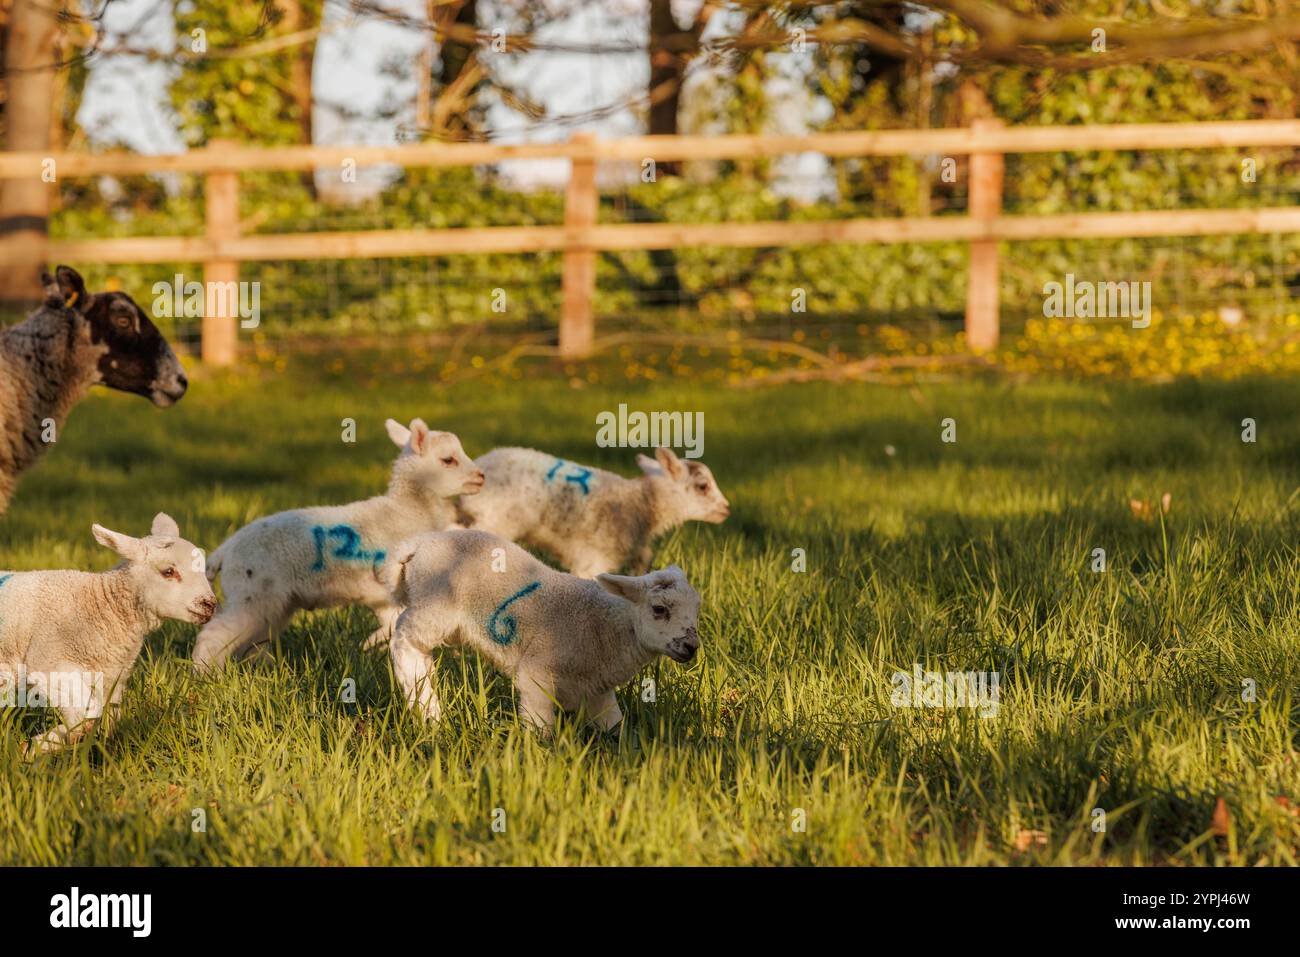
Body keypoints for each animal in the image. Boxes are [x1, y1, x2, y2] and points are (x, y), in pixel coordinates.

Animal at [0, 514, 215, 754]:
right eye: (168, 572)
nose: (210, 604)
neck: (100, 605)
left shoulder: (112, 678)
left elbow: (108, 722)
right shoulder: (49, 663)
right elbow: (85, 718)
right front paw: (32, 748)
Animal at [195, 418, 488, 670]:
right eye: (448, 460)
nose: (481, 477)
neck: (409, 510)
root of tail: (224, 551)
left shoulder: (382, 597)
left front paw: (373, 646)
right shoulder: (388, 586)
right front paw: (371, 644)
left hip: (273, 601)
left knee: (252, 642)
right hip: (252, 591)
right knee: (214, 636)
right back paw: (206, 674)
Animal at [379, 530, 702, 733]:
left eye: (697, 609)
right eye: (659, 609)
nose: (692, 647)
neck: (603, 624)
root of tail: (419, 542)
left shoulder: (596, 689)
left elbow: (614, 726)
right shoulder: (537, 671)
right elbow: (540, 726)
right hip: (436, 602)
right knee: (404, 638)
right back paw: (427, 709)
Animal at [457, 442, 728, 572]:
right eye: (703, 486)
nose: (726, 509)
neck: (640, 505)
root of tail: (479, 467)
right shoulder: (592, 561)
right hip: (496, 520)